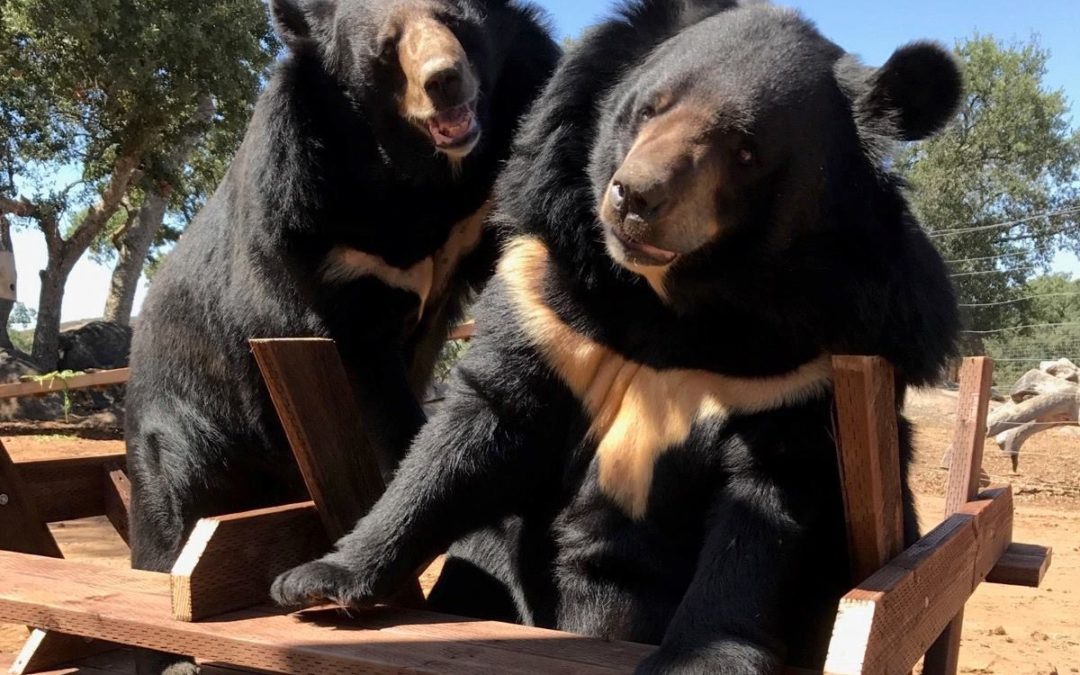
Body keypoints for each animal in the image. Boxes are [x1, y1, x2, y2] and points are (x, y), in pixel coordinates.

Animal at [125, 0, 558, 671]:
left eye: (456, 19)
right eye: (386, 48)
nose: (445, 82)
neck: (414, 174)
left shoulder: (478, 200)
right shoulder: (312, 234)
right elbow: (372, 396)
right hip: (182, 435)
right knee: (178, 507)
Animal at [270, 1, 961, 672]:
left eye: (745, 151)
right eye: (649, 107)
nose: (634, 197)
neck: (664, 305)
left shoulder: (804, 367)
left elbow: (767, 508)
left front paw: (699, 660)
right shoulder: (548, 304)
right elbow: (473, 434)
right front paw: (317, 579)